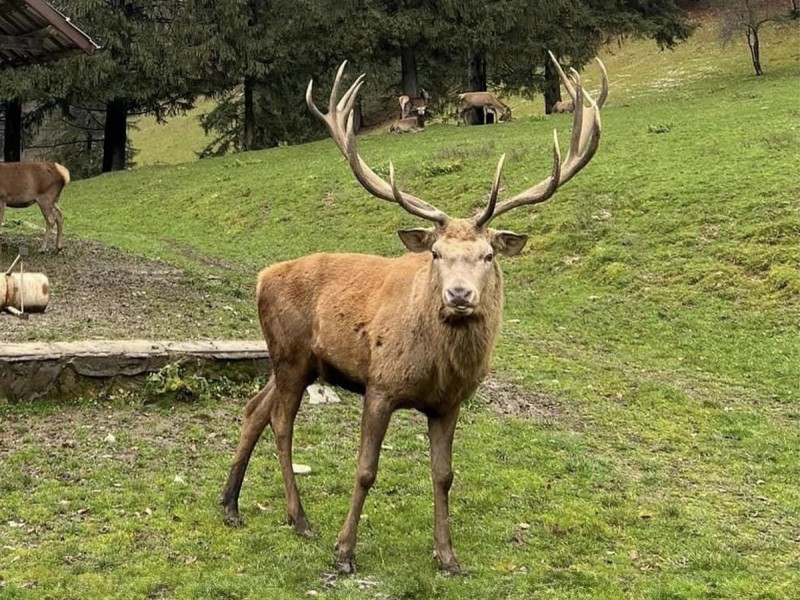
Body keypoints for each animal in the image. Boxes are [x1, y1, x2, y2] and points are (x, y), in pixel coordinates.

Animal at [220, 55, 606, 576]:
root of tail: (262, 278)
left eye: (488, 255)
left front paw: (448, 556)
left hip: (291, 361)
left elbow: (444, 475)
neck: (439, 367)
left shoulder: (450, 403)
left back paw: (231, 505)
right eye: (437, 253)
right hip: (291, 355)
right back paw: (299, 519)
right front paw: (345, 551)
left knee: (254, 408)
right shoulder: (380, 385)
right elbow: (366, 470)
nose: (459, 294)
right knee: (281, 421)